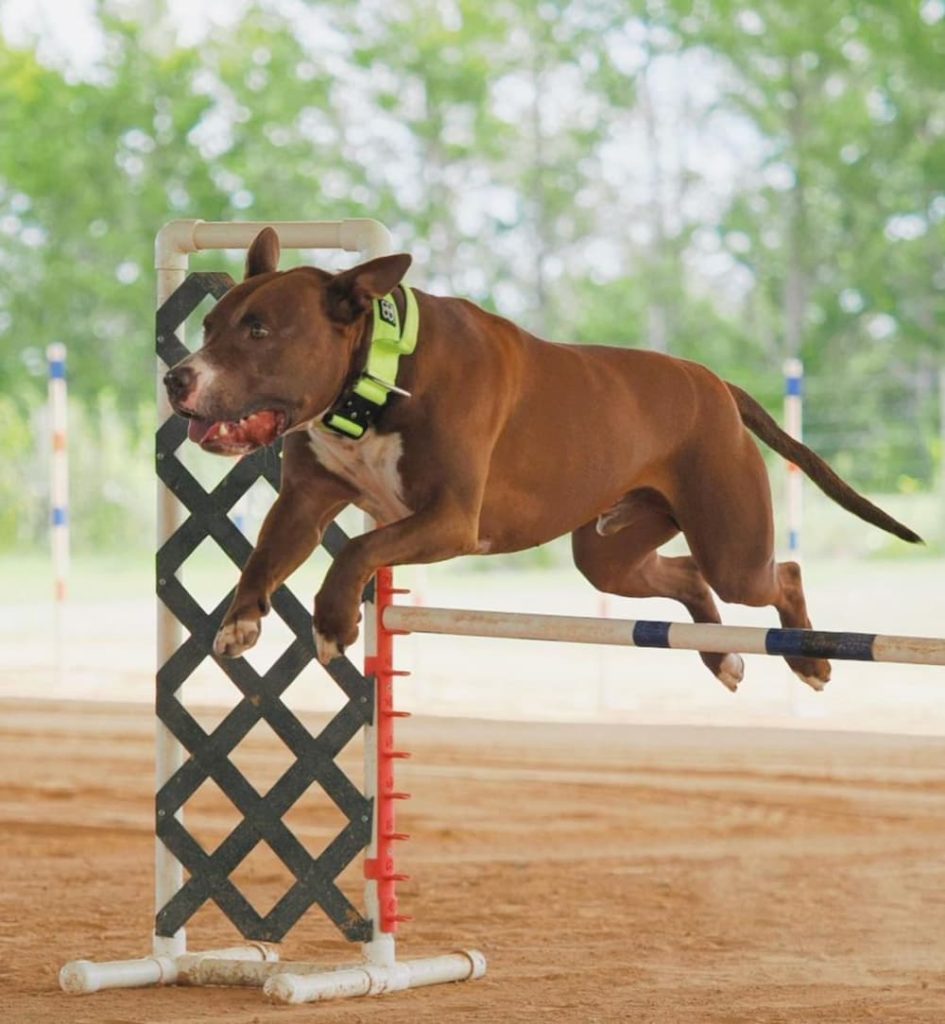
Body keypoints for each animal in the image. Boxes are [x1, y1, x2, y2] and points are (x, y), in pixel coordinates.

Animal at [165, 224, 921, 688]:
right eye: (207, 325)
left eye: (259, 330)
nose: (176, 378)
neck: (379, 375)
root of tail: (715, 386)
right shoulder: (305, 503)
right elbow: (265, 556)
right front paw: (239, 620)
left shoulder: (448, 520)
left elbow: (355, 551)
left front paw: (333, 622)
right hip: (612, 554)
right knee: (685, 576)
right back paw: (721, 659)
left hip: (733, 544)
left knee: (781, 572)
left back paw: (809, 661)